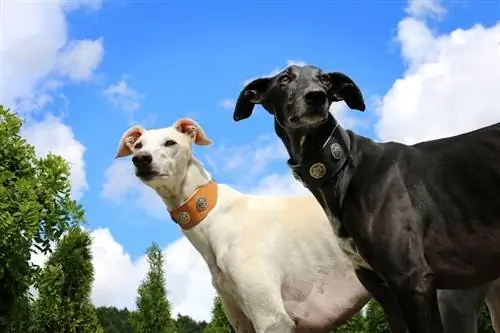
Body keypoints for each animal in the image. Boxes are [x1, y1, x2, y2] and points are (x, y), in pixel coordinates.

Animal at [115, 117, 500, 332]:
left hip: (449, 301)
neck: (215, 218)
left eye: (171, 142)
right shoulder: (243, 323)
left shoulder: (273, 319)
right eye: (138, 144)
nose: (140, 160)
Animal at [232, 63, 500, 330]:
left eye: (325, 78)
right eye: (284, 79)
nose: (316, 96)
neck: (344, 168)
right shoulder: (384, 290)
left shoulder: (413, 282)